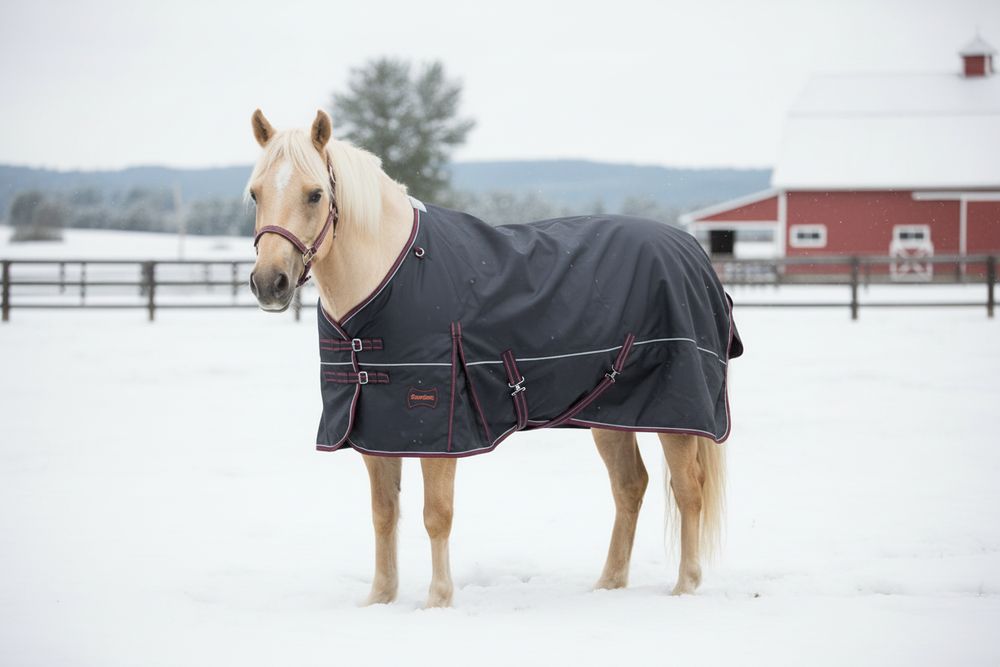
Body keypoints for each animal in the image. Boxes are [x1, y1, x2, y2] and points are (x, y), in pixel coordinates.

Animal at [246, 109, 730, 608]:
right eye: (255, 193)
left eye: (315, 194)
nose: (269, 283)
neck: (389, 277)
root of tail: (691, 250)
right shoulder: (376, 428)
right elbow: (384, 513)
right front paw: (380, 599)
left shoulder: (438, 430)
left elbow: (436, 514)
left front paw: (438, 600)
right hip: (610, 412)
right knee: (630, 486)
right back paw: (608, 583)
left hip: (677, 414)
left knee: (688, 490)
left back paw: (685, 586)